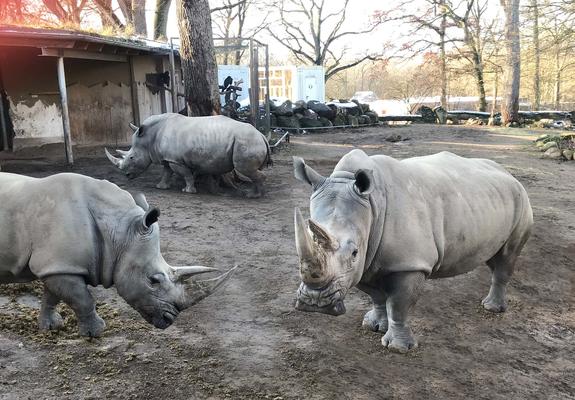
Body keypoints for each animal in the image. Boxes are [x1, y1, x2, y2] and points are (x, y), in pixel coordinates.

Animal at [0, 172, 236, 338]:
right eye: (153, 280)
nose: (169, 319)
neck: (119, 230)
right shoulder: (59, 265)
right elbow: (82, 299)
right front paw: (95, 333)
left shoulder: (58, 264)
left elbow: (52, 296)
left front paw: (51, 327)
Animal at [105, 113, 272, 198]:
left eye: (131, 157)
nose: (126, 175)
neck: (149, 138)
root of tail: (262, 136)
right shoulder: (168, 158)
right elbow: (166, 172)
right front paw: (161, 187)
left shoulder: (176, 160)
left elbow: (186, 174)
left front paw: (188, 191)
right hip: (248, 141)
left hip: (247, 141)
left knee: (244, 169)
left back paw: (253, 195)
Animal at [294, 149, 532, 354]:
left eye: (354, 253)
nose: (314, 303)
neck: (372, 206)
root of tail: (509, 174)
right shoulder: (367, 259)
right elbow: (376, 296)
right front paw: (373, 325)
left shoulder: (409, 264)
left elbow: (399, 305)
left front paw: (398, 347)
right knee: (494, 257)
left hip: (521, 200)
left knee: (507, 257)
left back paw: (492, 308)